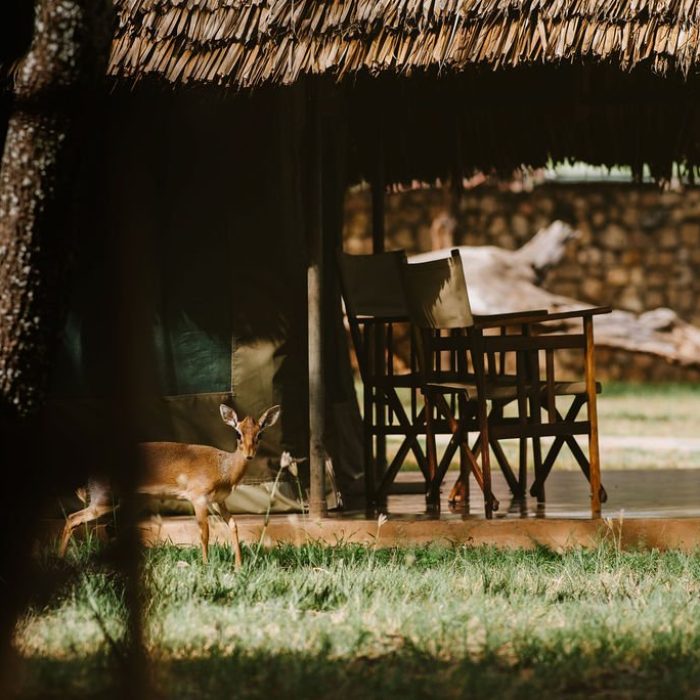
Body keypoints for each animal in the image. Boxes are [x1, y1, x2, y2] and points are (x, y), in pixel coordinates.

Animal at [58, 404, 280, 568]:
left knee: (107, 527)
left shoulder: (219, 501)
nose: (249, 454)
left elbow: (233, 526)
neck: (223, 469)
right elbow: (204, 533)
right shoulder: (198, 499)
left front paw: (239, 566)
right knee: (73, 518)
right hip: (105, 499)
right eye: (238, 434)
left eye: (260, 434)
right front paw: (206, 565)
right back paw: (60, 559)